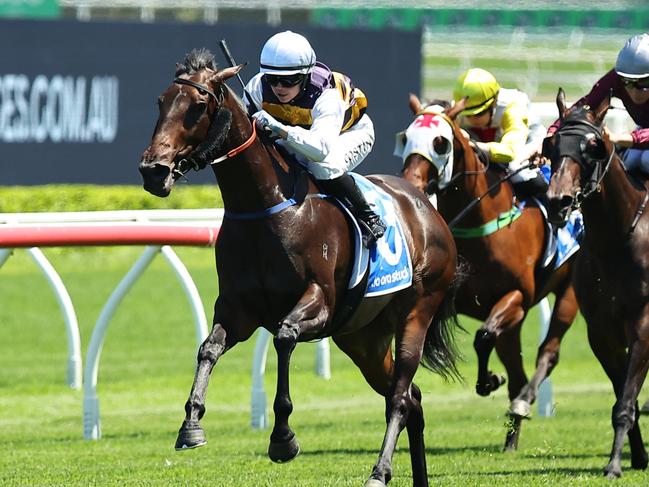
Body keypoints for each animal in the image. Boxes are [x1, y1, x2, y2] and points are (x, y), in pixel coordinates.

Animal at [137, 49, 460, 487]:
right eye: (161, 101)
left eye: (198, 106)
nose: (153, 170)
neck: (264, 207)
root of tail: (427, 209)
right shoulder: (238, 308)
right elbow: (208, 348)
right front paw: (192, 424)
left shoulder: (319, 302)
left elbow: (284, 337)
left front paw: (283, 438)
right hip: (363, 338)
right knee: (413, 398)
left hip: (417, 312)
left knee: (398, 397)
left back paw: (379, 471)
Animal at [400, 97, 576, 452]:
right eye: (405, 137)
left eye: (440, 143)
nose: (411, 183)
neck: (483, 222)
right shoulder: (452, 299)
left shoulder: (517, 297)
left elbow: (483, 337)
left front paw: (489, 380)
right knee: (518, 373)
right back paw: (512, 434)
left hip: (569, 291)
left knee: (547, 352)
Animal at [548, 88, 648, 480]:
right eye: (551, 143)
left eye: (594, 146)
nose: (558, 200)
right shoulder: (601, 333)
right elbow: (623, 398)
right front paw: (634, 456)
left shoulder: (643, 325)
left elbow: (626, 402)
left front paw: (615, 464)